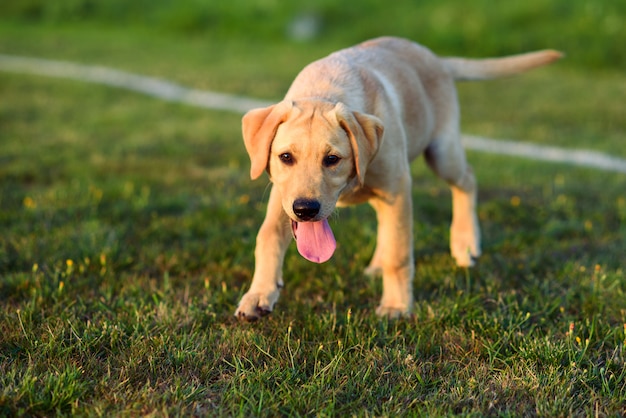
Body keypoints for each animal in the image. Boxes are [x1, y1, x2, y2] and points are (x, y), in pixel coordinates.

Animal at [235, 37, 560, 322]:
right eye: (285, 157)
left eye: (332, 159)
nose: (305, 210)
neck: (325, 91)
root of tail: (436, 59)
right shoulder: (282, 195)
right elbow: (268, 235)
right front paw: (259, 295)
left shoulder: (398, 187)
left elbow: (399, 253)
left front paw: (396, 307)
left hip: (442, 152)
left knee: (466, 180)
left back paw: (464, 243)